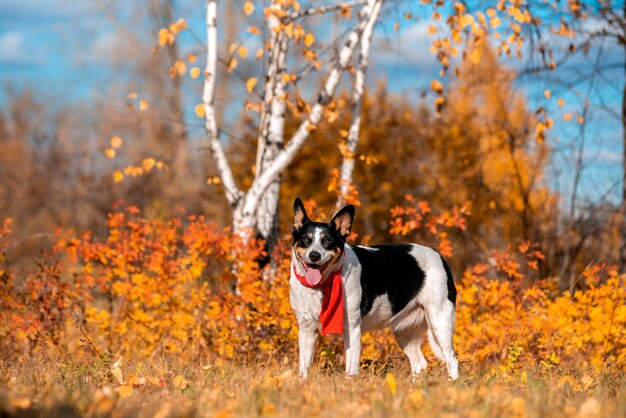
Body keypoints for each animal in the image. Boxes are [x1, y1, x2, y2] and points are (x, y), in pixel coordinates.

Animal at [288, 198, 458, 380]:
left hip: (440, 321)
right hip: (404, 332)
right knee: (419, 364)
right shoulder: (306, 330)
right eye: (305, 239)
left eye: (327, 241)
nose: (314, 255)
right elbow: (304, 369)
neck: (321, 285)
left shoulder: (352, 329)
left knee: (451, 359)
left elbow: (351, 369)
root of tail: (440, 258)